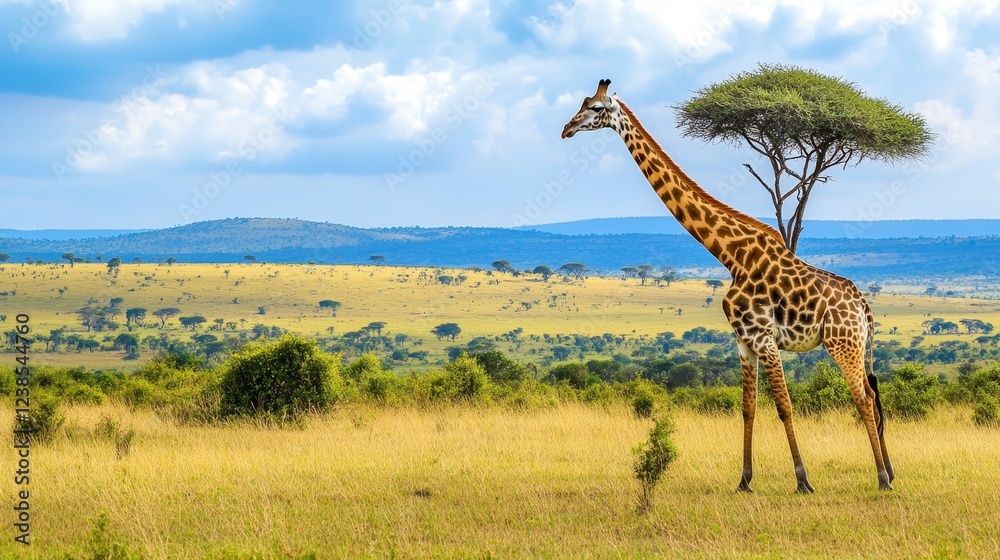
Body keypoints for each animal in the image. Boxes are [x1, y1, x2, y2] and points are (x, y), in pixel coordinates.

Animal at [562, 79, 893, 493]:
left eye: (594, 108)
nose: (566, 129)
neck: (731, 255)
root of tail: (864, 308)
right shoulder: (743, 341)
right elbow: (748, 408)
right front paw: (745, 480)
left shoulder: (764, 337)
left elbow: (784, 406)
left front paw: (802, 480)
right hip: (854, 344)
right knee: (874, 396)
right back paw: (890, 472)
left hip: (841, 343)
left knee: (862, 398)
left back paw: (881, 478)